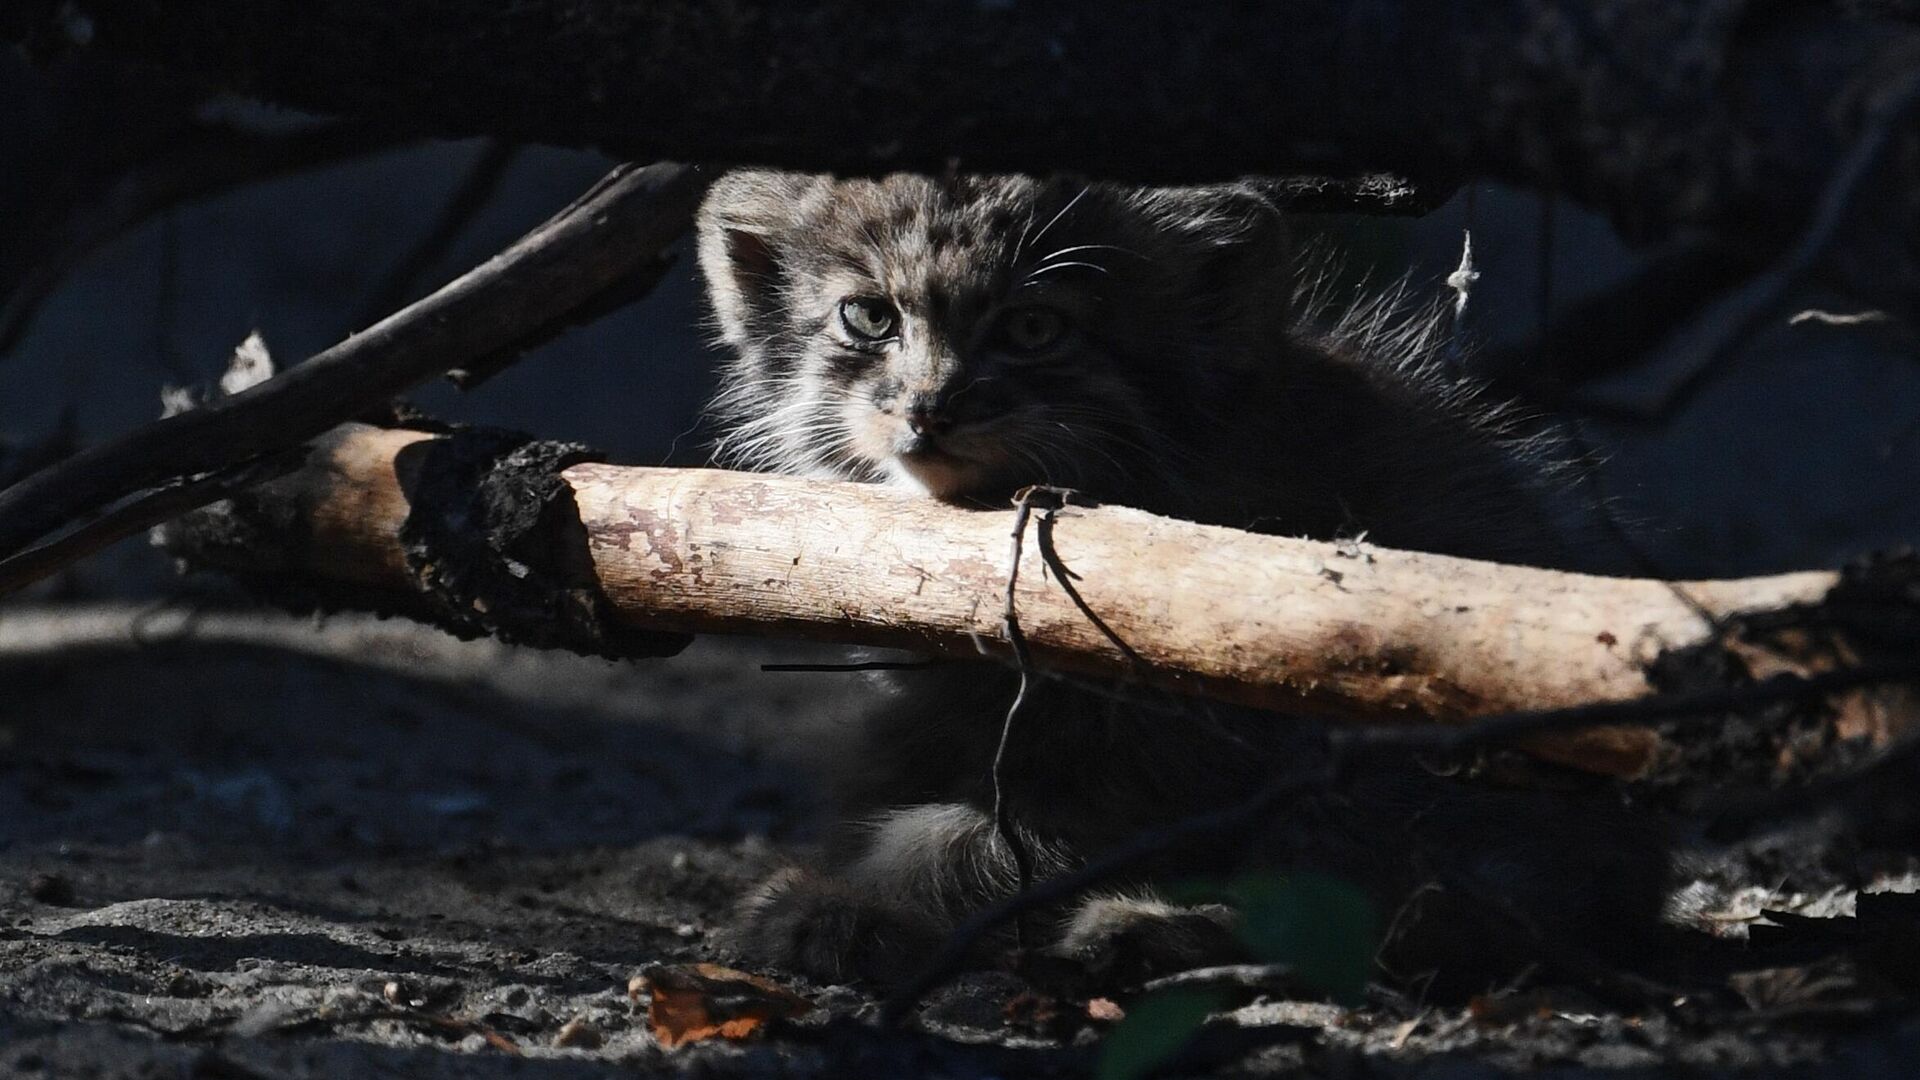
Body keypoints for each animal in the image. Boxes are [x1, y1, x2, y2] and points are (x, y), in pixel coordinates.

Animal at [698, 171, 1628, 991]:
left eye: (1034, 328)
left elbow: (975, 843)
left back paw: (1144, 931)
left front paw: (848, 904)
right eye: (869, 316)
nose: (928, 409)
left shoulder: (1181, 755)